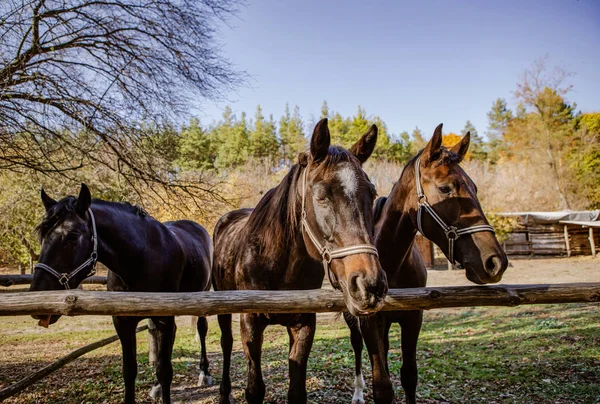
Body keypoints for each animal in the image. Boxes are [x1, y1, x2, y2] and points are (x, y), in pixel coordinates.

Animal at [30, 185, 214, 404]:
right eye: (42, 236)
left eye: (73, 235)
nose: (39, 299)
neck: (140, 259)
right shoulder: (122, 321)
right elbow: (129, 371)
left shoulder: (164, 318)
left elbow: (164, 371)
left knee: (201, 329)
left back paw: (204, 373)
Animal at [211, 117, 390, 404]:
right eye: (321, 196)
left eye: (371, 194)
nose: (370, 285)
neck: (276, 264)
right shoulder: (250, 323)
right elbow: (254, 389)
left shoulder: (304, 323)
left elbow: (296, 391)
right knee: (226, 343)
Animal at [344, 124, 508, 404]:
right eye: (445, 188)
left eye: (475, 188)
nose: (495, 262)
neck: (392, 263)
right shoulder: (370, 322)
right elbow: (382, 385)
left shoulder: (413, 317)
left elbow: (409, 376)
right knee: (356, 346)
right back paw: (357, 392)